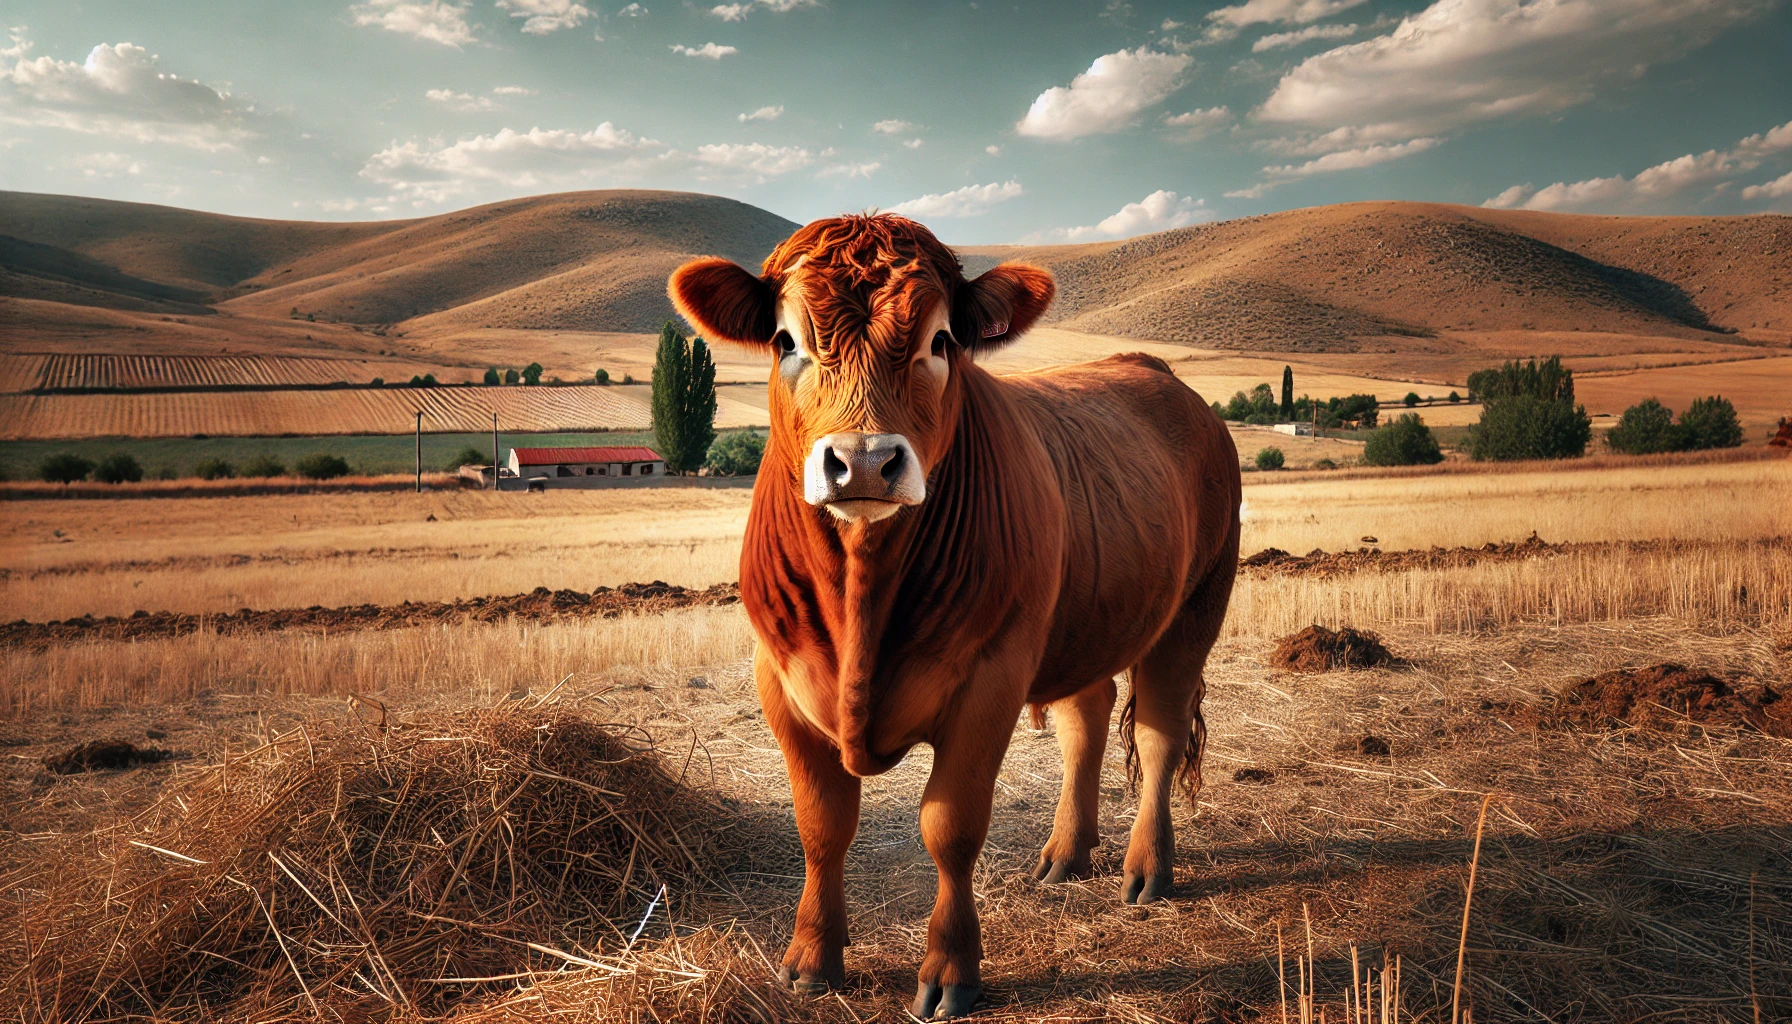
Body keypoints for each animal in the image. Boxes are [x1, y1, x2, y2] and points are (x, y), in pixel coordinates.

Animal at [666, 214, 1240, 1018]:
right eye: (784, 341)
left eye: (941, 342)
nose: (863, 461)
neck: (862, 596)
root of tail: (1156, 374)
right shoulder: (778, 679)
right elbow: (821, 826)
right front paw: (811, 957)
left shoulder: (989, 679)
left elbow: (951, 828)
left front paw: (950, 969)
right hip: (1082, 622)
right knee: (1086, 718)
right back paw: (1067, 852)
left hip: (1195, 607)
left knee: (1159, 733)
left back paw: (1146, 868)